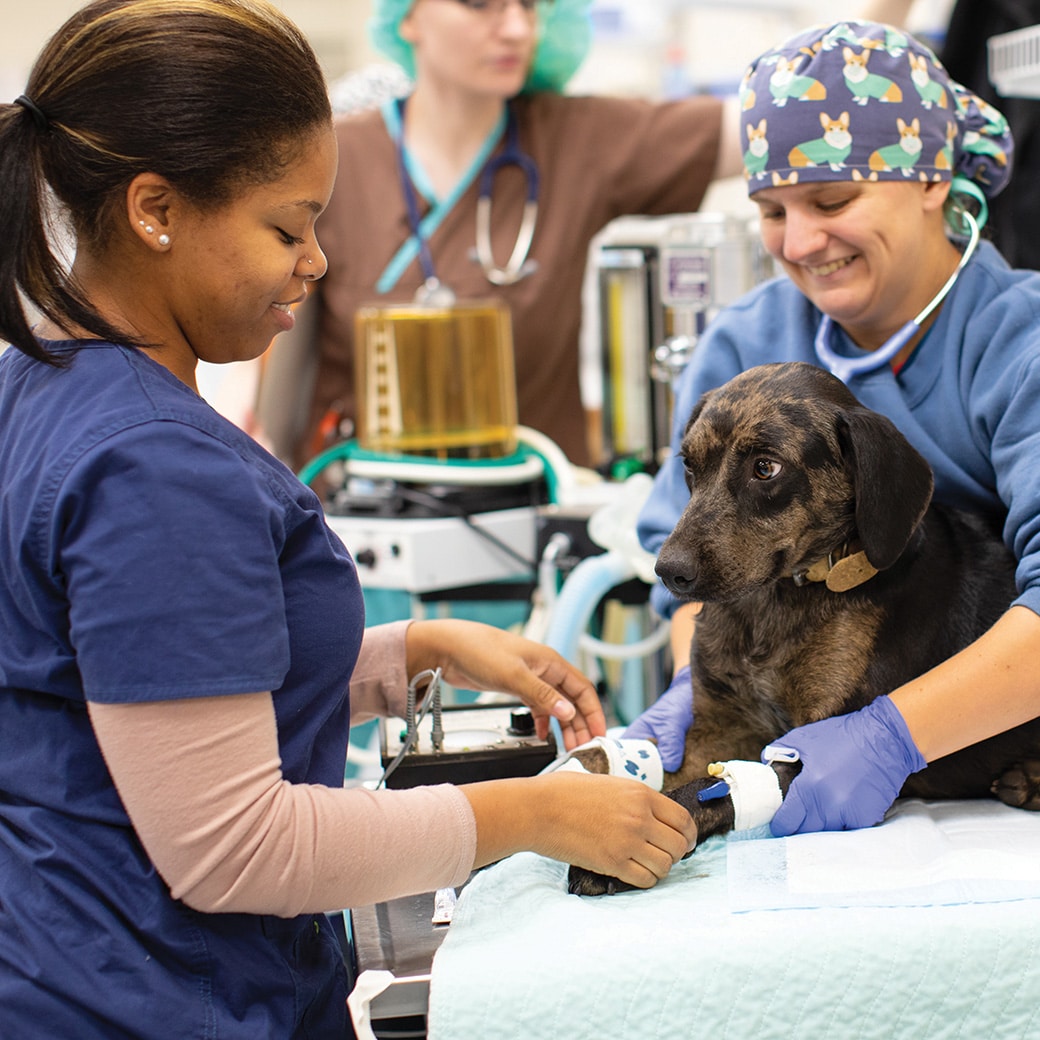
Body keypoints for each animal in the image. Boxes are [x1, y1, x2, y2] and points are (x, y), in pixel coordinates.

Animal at [569, 364, 1040, 894]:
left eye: (766, 468)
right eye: (689, 465)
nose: (668, 571)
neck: (781, 597)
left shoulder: (810, 752)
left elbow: (708, 790)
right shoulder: (716, 726)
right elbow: (663, 767)